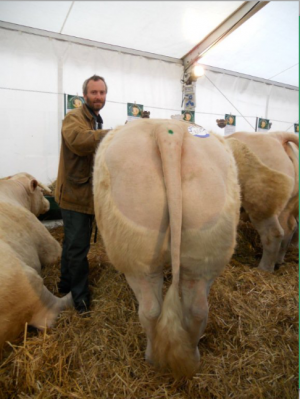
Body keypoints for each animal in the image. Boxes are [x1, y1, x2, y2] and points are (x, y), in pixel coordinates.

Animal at [92, 119, 240, 378]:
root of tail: (169, 130)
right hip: (205, 244)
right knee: (197, 309)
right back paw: (193, 357)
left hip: (138, 252)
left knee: (150, 310)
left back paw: (152, 358)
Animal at [226, 133, 298, 274]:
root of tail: (277, 137)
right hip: (287, 206)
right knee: (289, 228)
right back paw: (278, 262)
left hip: (261, 202)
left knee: (273, 233)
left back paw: (264, 269)